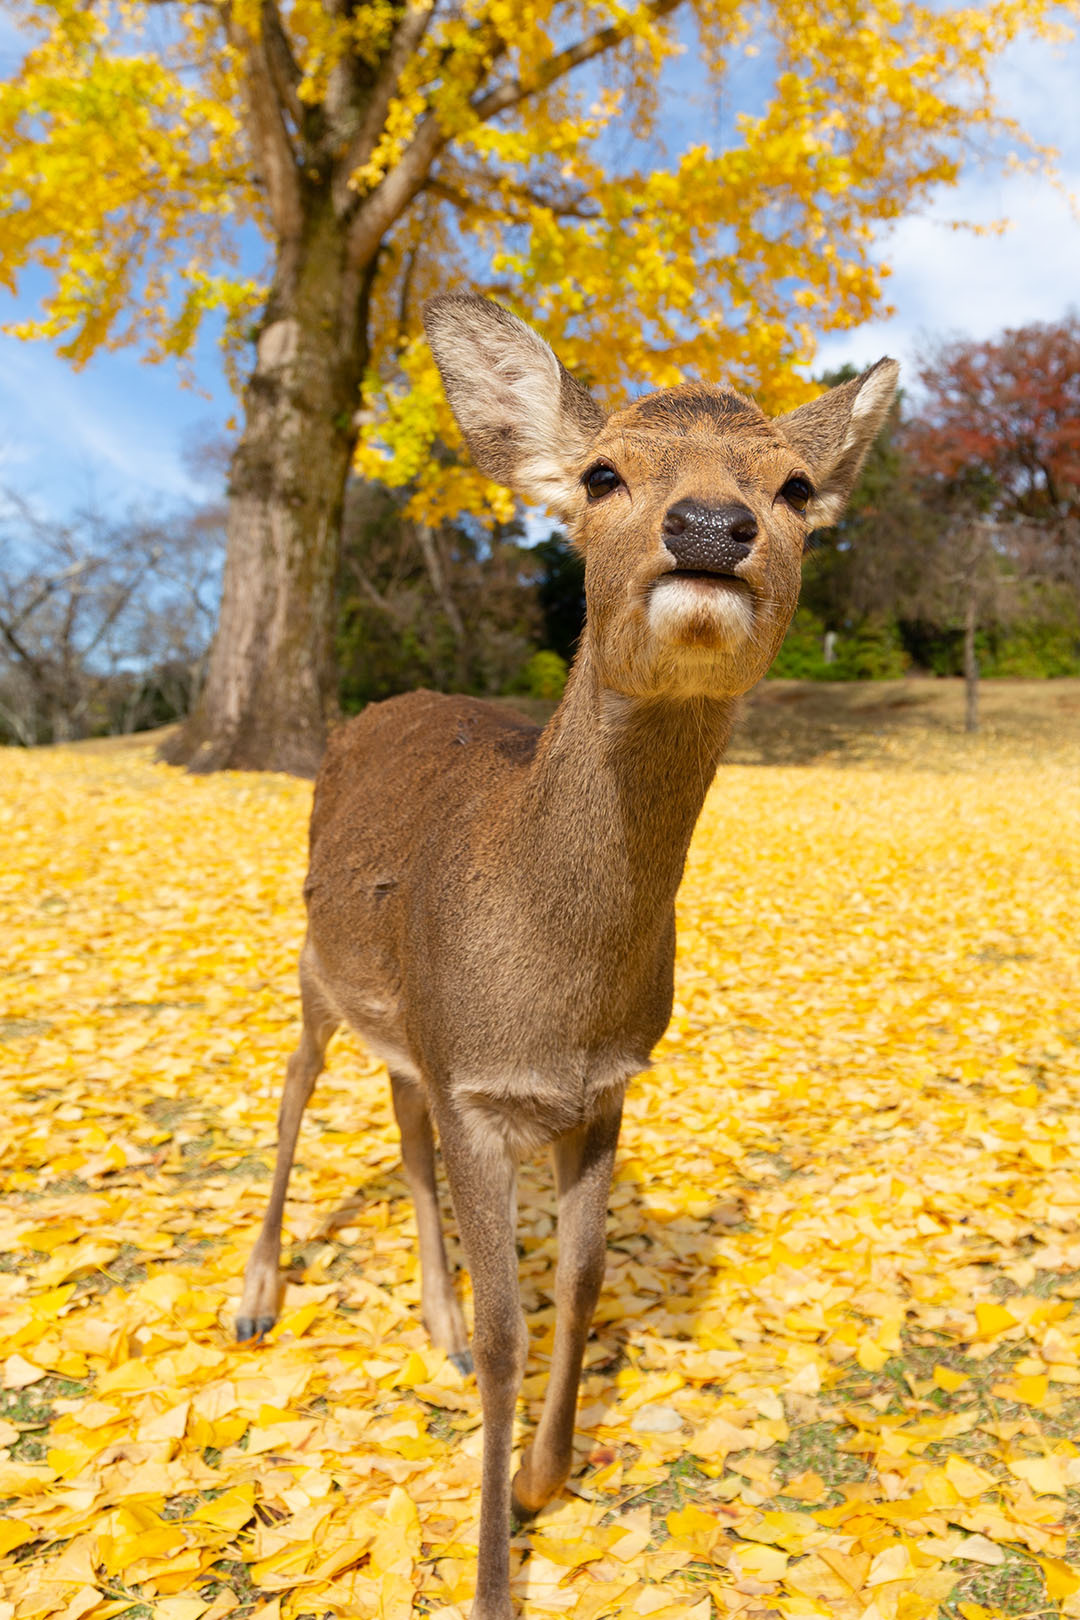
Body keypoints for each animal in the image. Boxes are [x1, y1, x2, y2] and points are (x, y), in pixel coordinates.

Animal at [236, 291, 898, 1620]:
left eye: (797, 486)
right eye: (602, 473)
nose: (711, 526)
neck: (552, 993)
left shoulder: (597, 1085)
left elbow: (585, 1281)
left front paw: (542, 1482)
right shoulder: (480, 1088)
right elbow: (512, 1329)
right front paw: (494, 1573)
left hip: (408, 1031)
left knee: (399, 1129)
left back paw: (427, 1323)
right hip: (313, 965)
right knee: (290, 1092)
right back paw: (255, 1299)